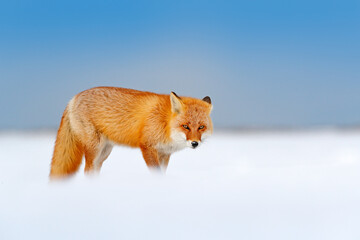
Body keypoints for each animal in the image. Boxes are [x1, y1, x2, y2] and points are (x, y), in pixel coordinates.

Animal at [50, 86, 214, 178]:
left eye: (201, 127)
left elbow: (162, 173)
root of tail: (73, 98)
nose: (195, 143)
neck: (165, 122)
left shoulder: (164, 153)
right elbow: (156, 173)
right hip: (94, 148)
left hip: (104, 152)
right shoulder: (147, 147)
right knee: (87, 171)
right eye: (185, 126)